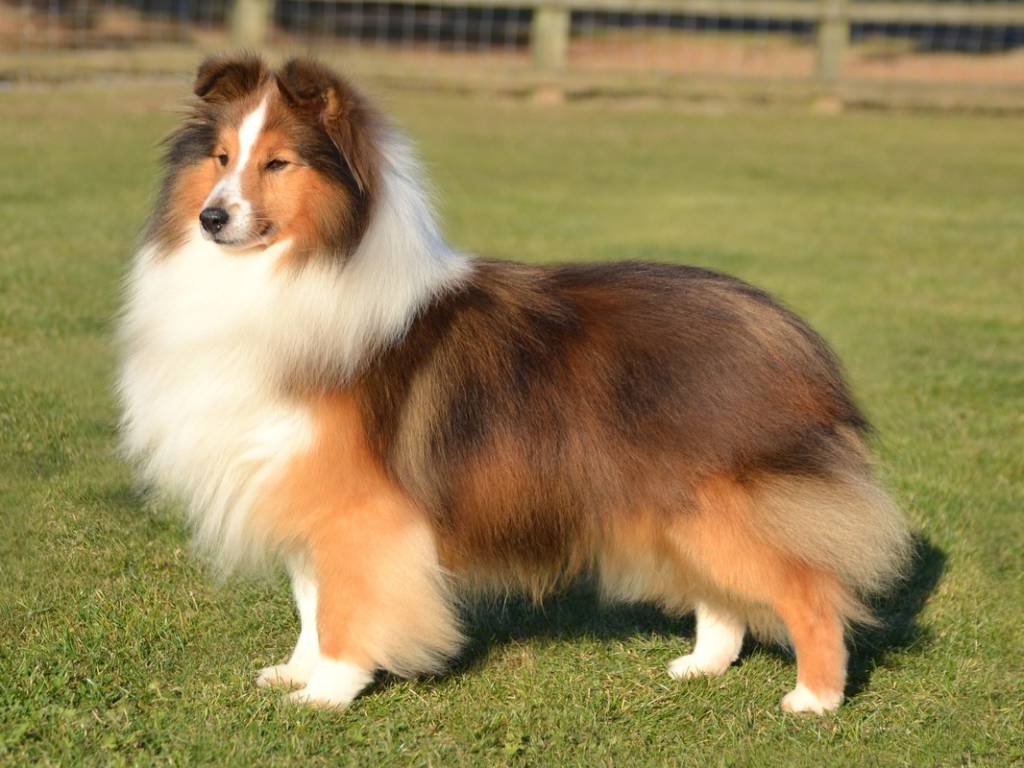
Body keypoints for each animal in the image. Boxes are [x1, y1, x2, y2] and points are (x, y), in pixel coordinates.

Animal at [119, 55, 913, 716]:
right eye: (222, 159)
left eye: (279, 163)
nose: (212, 217)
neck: (292, 272)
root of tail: (789, 330)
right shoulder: (302, 490)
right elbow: (312, 600)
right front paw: (295, 672)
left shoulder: (358, 511)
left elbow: (348, 606)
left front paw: (327, 694)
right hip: (678, 505)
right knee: (725, 596)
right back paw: (702, 666)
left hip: (723, 502)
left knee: (810, 590)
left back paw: (815, 700)